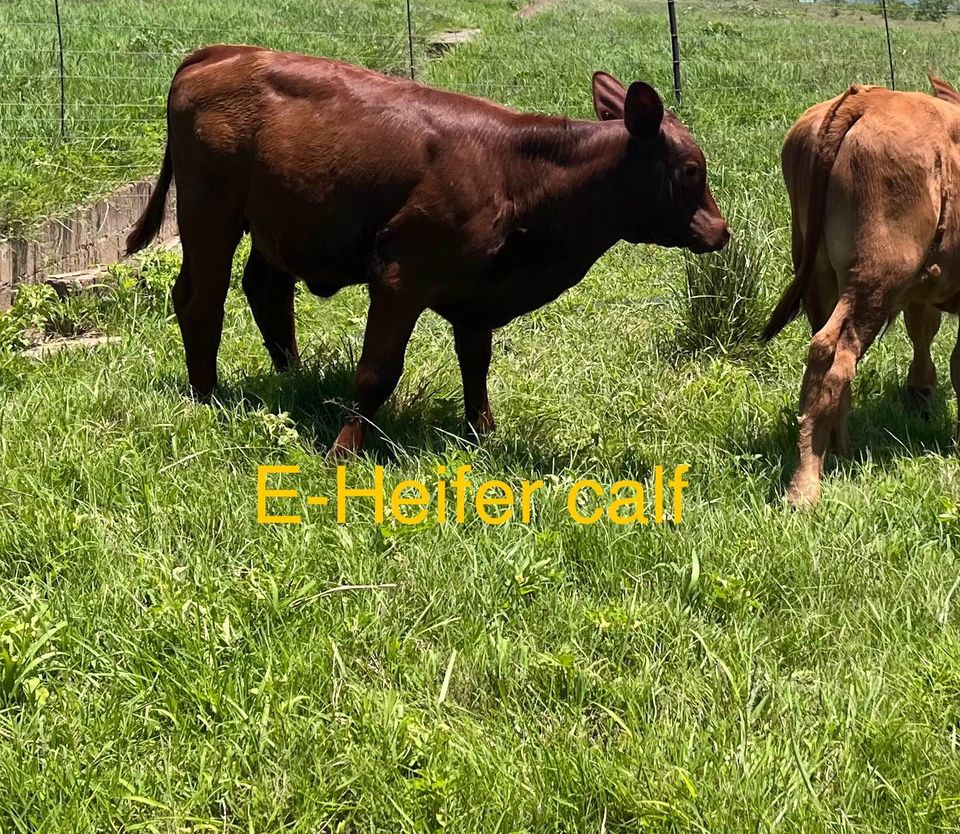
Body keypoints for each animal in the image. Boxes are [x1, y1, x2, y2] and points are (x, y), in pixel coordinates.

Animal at [126, 46, 729, 456]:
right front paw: (345, 448)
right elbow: (377, 371)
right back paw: (205, 395)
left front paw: (483, 435)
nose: (721, 231)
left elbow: (477, 363)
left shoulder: (478, 291)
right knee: (201, 297)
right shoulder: (401, 272)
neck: (519, 175)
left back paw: (291, 378)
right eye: (691, 170)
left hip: (278, 217)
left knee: (266, 290)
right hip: (210, 209)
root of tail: (222, 51)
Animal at [764, 78, 960, 507]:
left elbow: (924, 331)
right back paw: (806, 485)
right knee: (833, 353)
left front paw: (920, 393)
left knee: (829, 361)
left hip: (821, 277)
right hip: (875, 279)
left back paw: (840, 452)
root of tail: (868, 97)